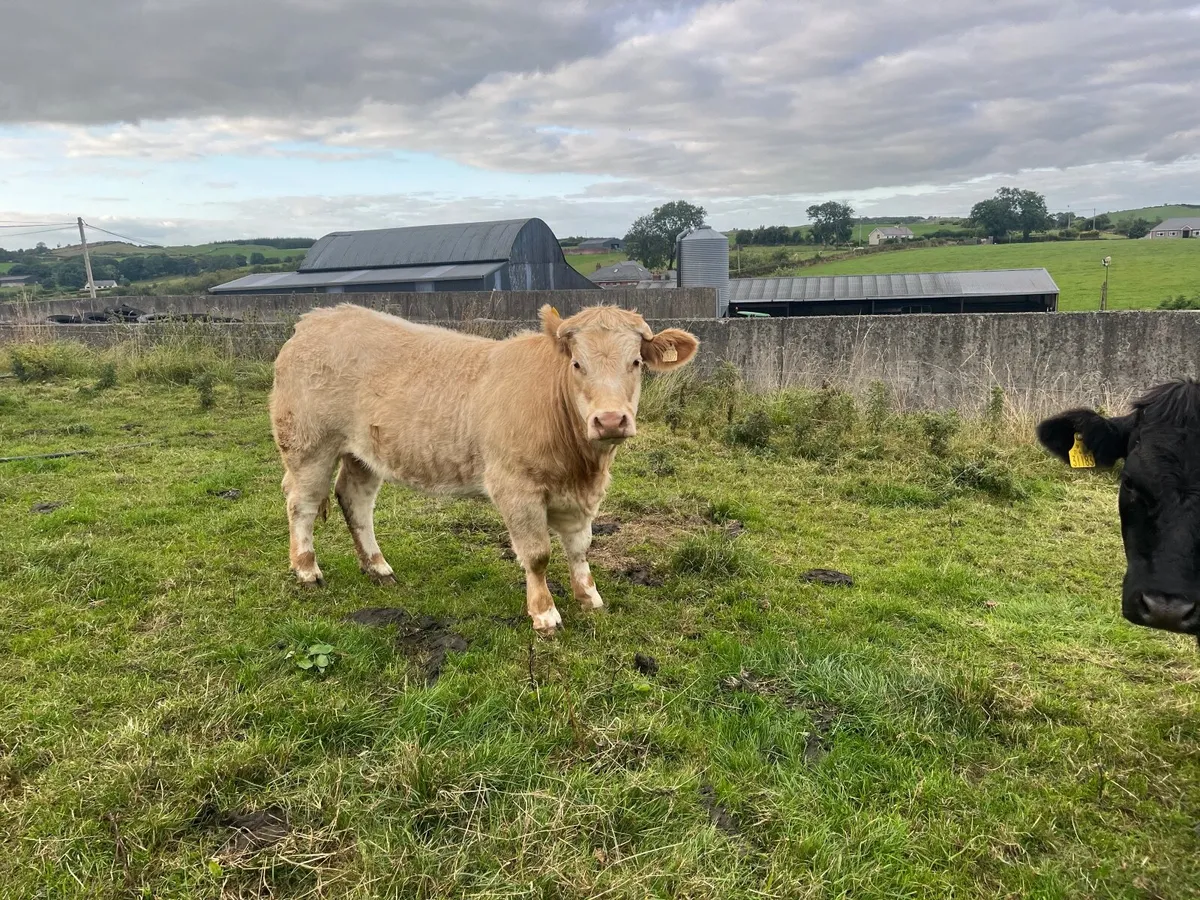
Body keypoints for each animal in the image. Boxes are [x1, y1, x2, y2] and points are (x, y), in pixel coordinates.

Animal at [269, 302, 700, 636]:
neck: (580, 464)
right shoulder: (516, 487)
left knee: (355, 501)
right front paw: (545, 614)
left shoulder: (580, 495)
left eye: (636, 362)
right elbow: (538, 555)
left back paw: (377, 567)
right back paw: (307, 570)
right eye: (578, 364)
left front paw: (589, 597)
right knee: (301, 503)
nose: (610, 420)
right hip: (308, 444)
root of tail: (316, 319)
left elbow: (579, 547)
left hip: (363, 453)